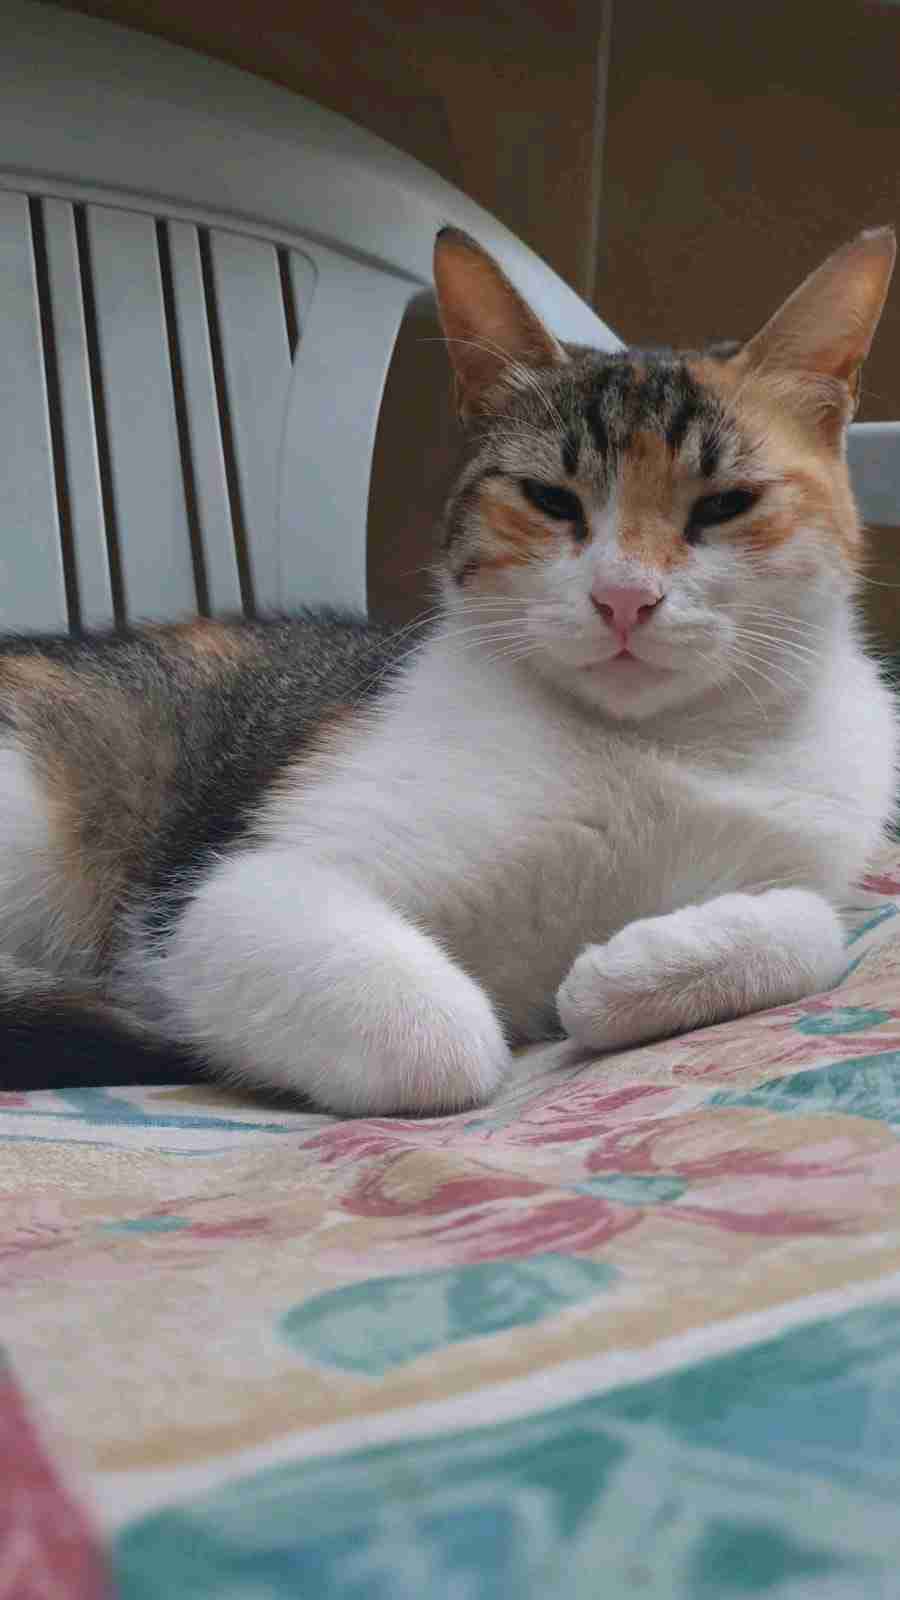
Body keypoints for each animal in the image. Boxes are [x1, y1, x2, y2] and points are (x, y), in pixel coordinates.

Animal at [0, 224, 896, 1110]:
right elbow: (445, 1042)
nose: (624, 598)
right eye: (550, 499)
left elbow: (817, 927)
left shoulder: (810, 853)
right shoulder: (231, 891)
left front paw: (627, 974)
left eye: (724, 504)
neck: (660, 744)